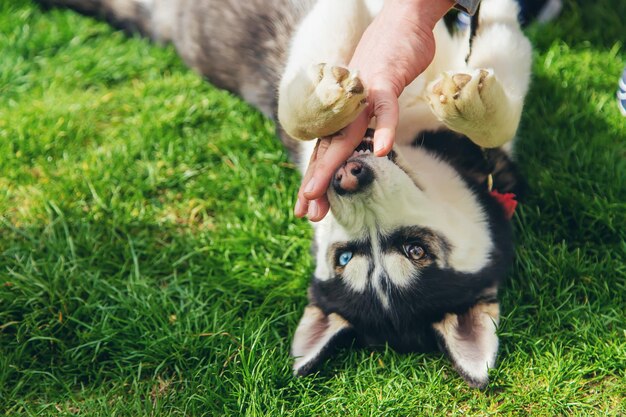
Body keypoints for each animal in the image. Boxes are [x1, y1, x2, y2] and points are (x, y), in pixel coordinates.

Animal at [42, 0, 532, 386]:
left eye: (415, 251)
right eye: (346, 257)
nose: (346, 176)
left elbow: (499, 108)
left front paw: (472, 104)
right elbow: (298, 102)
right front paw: (325, 102)